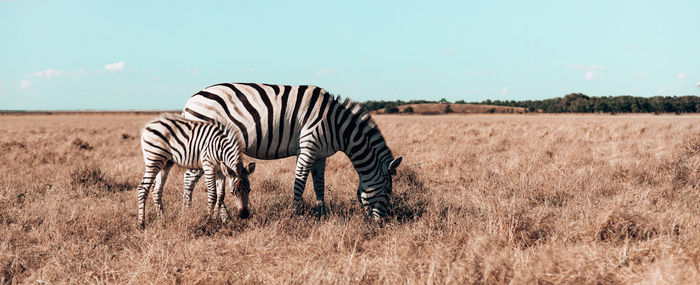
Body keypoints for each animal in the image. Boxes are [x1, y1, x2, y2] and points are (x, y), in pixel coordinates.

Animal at [180, 82, 402, 220]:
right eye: (387, 190)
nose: (382, 223)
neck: (337, 126)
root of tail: (191, 99)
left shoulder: (320, 155)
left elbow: (319, 185)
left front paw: (323, 214)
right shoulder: (308, 146)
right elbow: (300, 183)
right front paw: (295, 214)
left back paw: (211, 215)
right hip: (207, 145)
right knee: (190, 177)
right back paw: (188, 211)